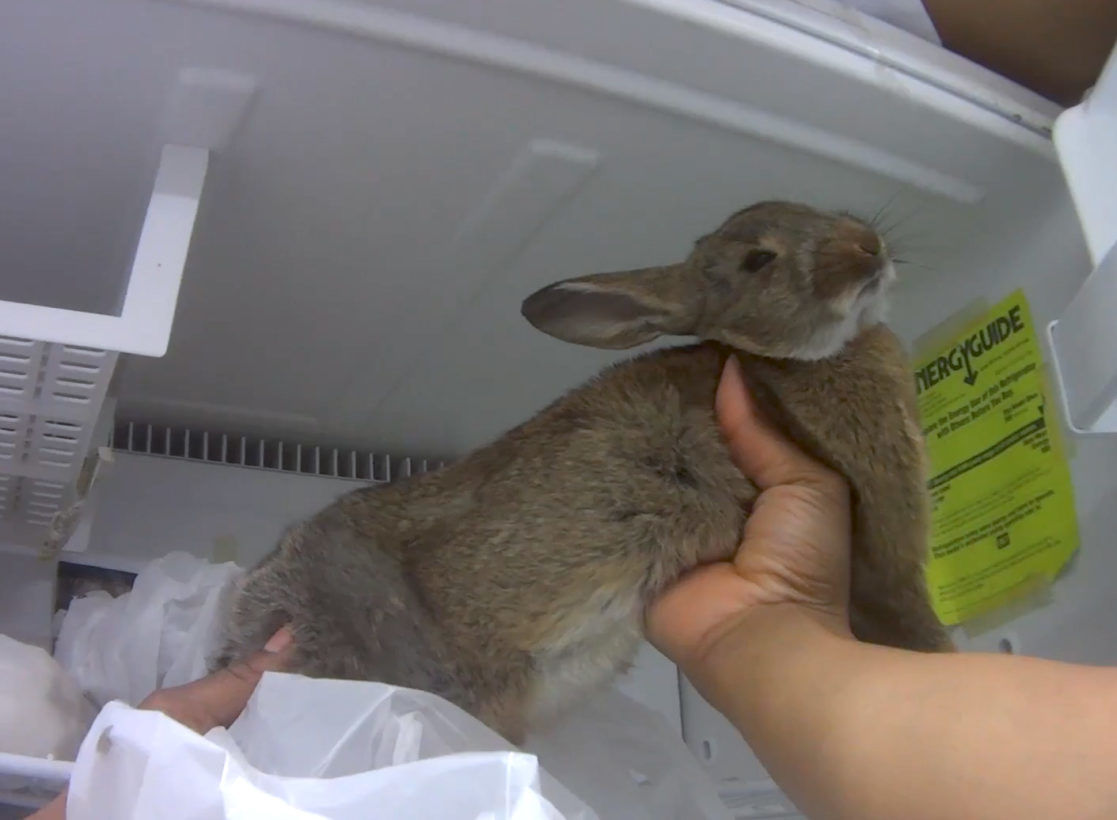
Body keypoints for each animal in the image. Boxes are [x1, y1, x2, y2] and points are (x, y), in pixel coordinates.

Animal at [217, 201, 951, 746]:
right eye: (758, 259)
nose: (867, 245)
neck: (786, 360)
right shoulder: (882, 541)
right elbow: (901, 608)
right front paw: (940, 657)